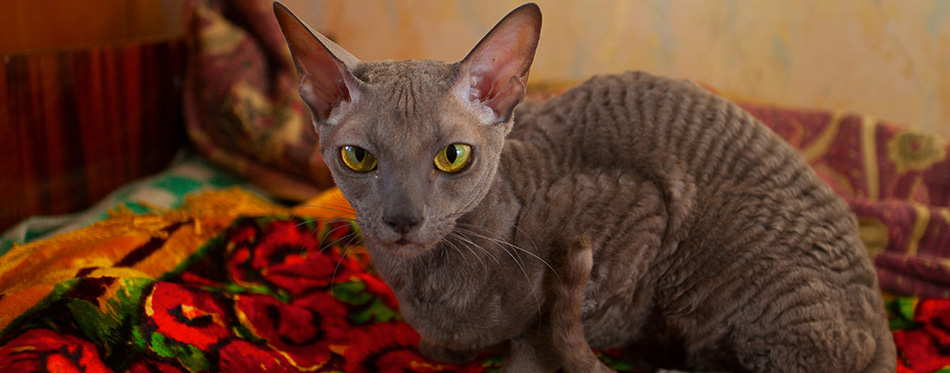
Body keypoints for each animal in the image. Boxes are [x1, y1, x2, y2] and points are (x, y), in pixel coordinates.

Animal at [274, 2, 892, 372]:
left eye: (453, 157)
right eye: (358, 158)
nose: (402, 219)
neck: (428, 285)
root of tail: (882, 318)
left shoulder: (638, 218)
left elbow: (550, 329)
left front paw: (519, 353)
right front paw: (441, 347)